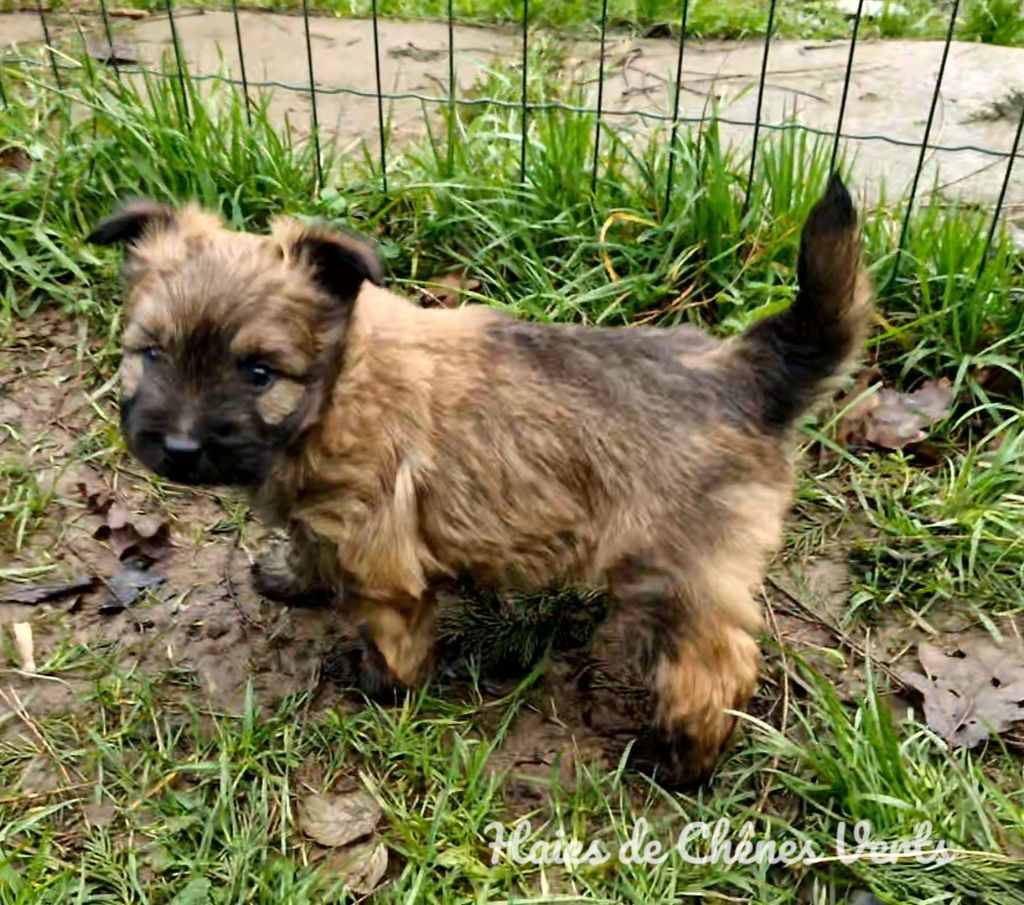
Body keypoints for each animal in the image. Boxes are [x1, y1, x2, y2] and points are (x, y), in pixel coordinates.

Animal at [90, 178, 872, 786]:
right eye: (151, 353)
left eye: (258, 372)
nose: (180, 445)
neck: (336, 386)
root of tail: (744, 372)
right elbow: (311, 544)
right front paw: (293, 574)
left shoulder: (383, 559)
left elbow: (391, 636)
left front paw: (381, 690)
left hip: (676, 576)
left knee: (714, 674)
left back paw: (680, 764)